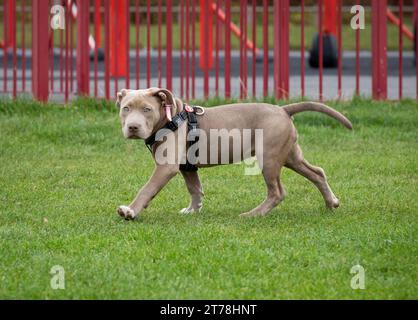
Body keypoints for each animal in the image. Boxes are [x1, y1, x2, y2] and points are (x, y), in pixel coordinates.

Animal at [115, 88, 352, 220]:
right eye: (126, 108)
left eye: (147, 109)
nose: (133, 127)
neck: (170, 118)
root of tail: (283, 109)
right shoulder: (186, 167)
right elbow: (195, 189)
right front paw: (193, 210)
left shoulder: (166, 167)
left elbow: (147, 189)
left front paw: (130, 211)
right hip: (290, 155)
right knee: (317, 172)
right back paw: (331, 202)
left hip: (270, 158)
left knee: (277, 192)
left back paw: (253, 215)